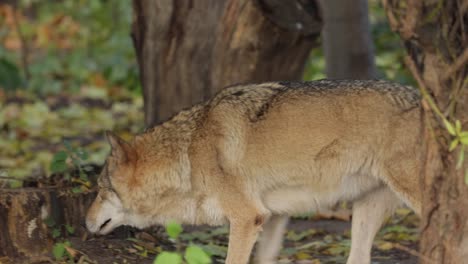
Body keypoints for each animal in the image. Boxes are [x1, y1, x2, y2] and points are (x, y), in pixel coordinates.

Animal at [85, 80, 424, 264]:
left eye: (100, 190)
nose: (84, 222)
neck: (189, 152)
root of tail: (424, 99)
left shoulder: (247, 218)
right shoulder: (273, 217)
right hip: (365, 214)